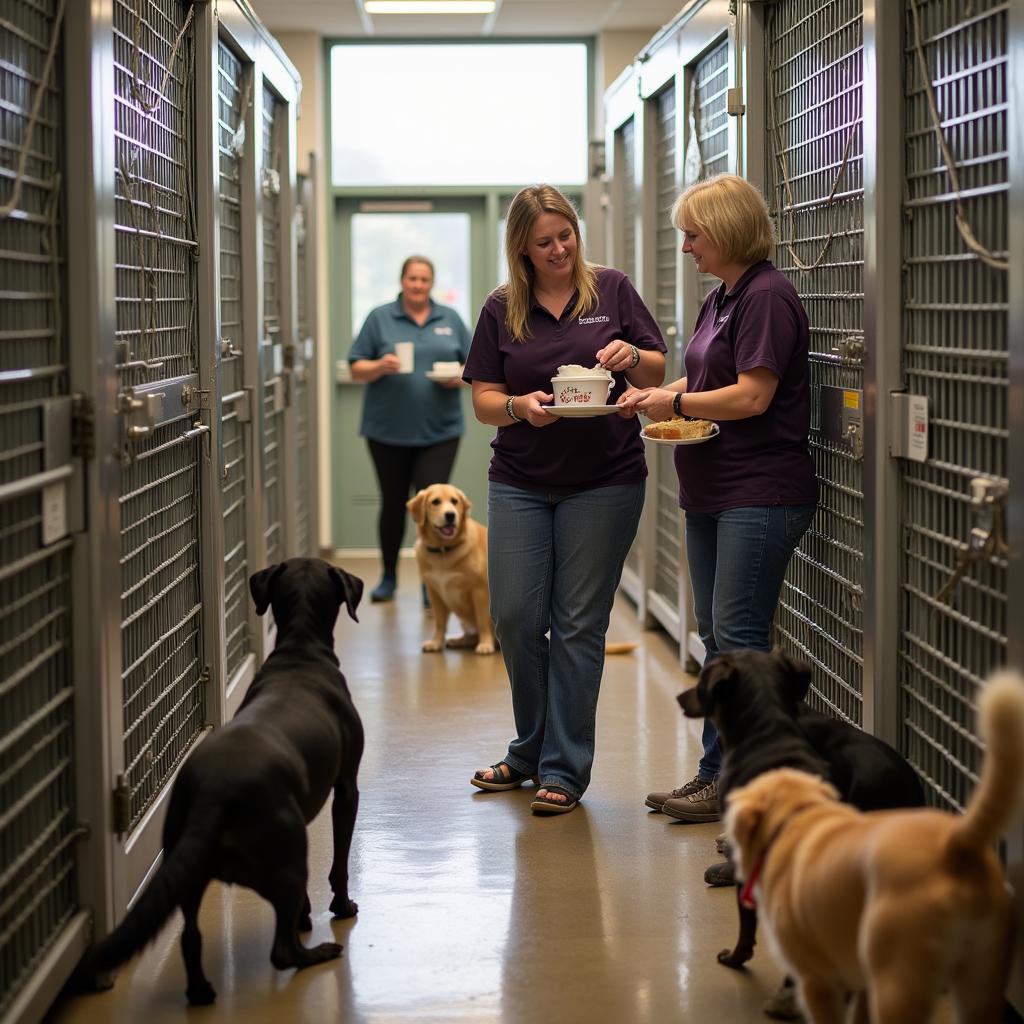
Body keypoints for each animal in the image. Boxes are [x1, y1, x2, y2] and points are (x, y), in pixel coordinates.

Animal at [84, 557, 364, 1003]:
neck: (301, 650)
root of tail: (212, 795)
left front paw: (305, 916)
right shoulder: (347, 788)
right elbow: (339, 863)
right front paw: (342, 907)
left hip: (191, 870)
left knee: (191, 937)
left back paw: (201, 991)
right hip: (286, 857)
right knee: (282, 952)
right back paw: (318, 952)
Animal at [405, 481, 493, 655]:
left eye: (454, 501)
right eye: (435, 502)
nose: (450, 515)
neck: (443, 550)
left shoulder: (479, 590)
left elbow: (482, 620)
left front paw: (486, 644)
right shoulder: (434, 592)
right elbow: (440, 623)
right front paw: (436, 642)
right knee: (470, 635)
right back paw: (459, 641)